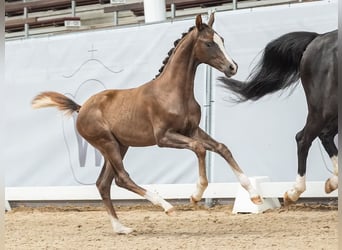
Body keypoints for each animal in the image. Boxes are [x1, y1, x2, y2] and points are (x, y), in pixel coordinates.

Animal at [219, 29, 336, 205]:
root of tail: (317, 38)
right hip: (323, 108)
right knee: (305, 138)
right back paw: (294, 192)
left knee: (324, 136)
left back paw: (331, 182)